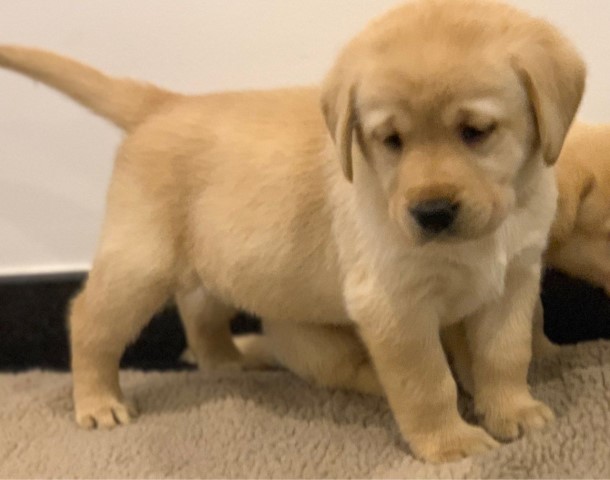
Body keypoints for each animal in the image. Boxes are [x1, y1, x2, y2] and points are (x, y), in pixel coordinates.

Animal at [1, 0, 584, 464]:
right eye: (390, 140)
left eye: (476, 132)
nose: (432, 212)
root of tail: (166, 103)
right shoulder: (393, 303)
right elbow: (427, 381)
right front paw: (450, 442)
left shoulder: (514, 281)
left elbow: (505, 355)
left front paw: (513, 411)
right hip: (139, 263)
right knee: (88, 320)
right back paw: (98, 401)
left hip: (218, 261)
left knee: (199, 309)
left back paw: (229, 360)